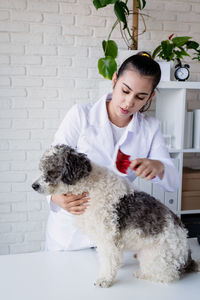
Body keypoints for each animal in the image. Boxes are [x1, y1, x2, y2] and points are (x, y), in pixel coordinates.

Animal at [32, 144, 199, 288]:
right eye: (41, 169)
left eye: (51, 171)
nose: (34, 186)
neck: (88, 186)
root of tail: (186, 256)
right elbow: (114, 256)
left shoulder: (107, 236)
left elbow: (108, 260)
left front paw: (105, 279)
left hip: (154, 257)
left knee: (168, 276)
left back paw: (143, 274)